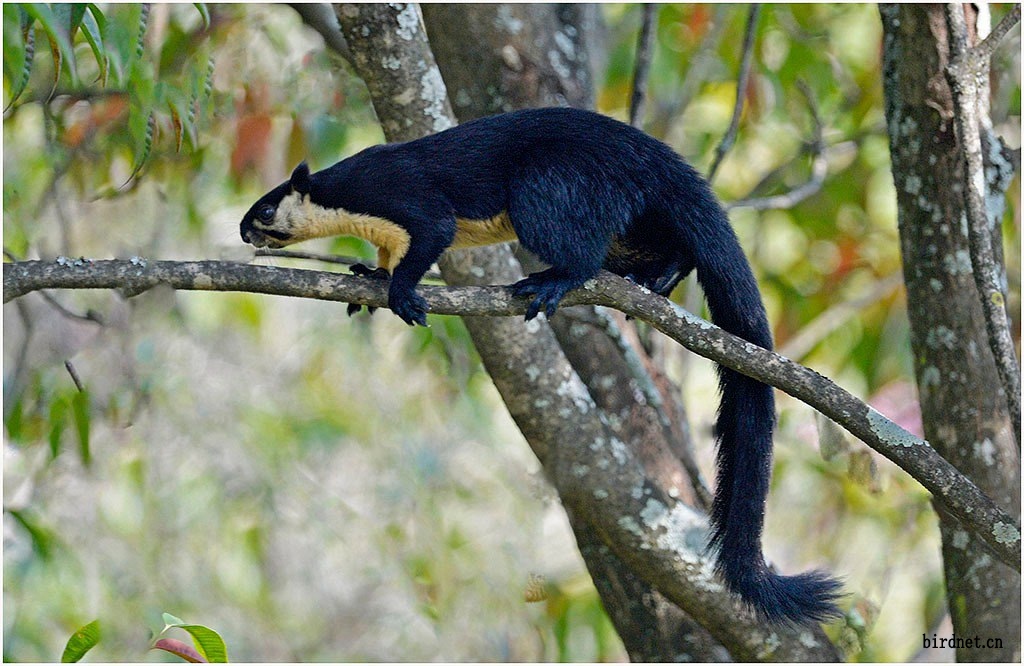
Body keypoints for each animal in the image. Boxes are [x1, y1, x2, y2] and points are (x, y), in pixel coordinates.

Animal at [239, 105, 839, 622]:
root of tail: (655, 158)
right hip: (626, 220)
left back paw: (550, 282)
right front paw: (369, 277)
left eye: (265, 209)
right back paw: (654, 280)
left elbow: (430, 236)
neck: (346, 200)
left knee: (585, 256)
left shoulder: (402, 197)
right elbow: (388, 259)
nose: (242, 232)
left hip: (549, 189)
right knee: (670, 249)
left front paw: (404, 293)